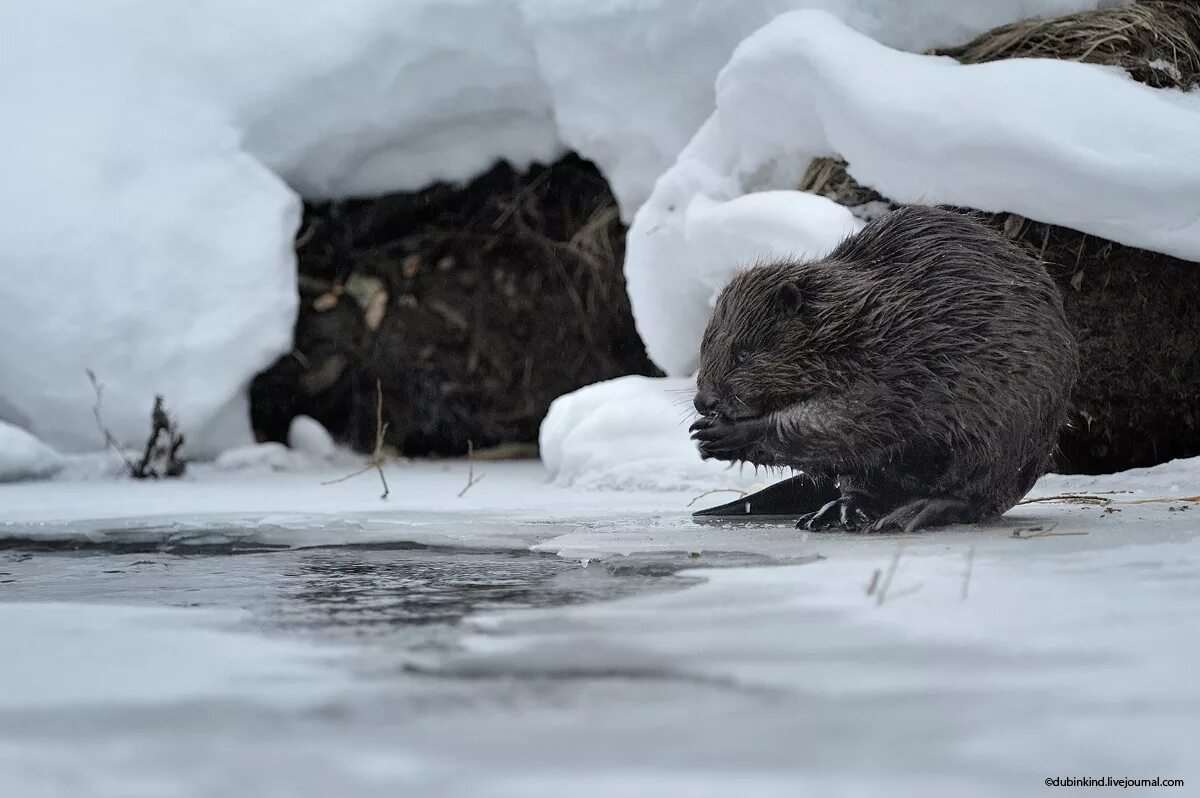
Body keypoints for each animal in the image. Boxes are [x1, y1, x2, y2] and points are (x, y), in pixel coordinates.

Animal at [691, 202, 1084, 532]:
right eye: (705, 347)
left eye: (743, 353)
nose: (703, 402)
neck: (856, 320)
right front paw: (704, 436)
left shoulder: (897, 361)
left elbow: (858, 418)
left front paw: (725, 432)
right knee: (863, 486)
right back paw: (833, 512)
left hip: (1007, 443)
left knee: (971, 496)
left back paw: (906, 516)